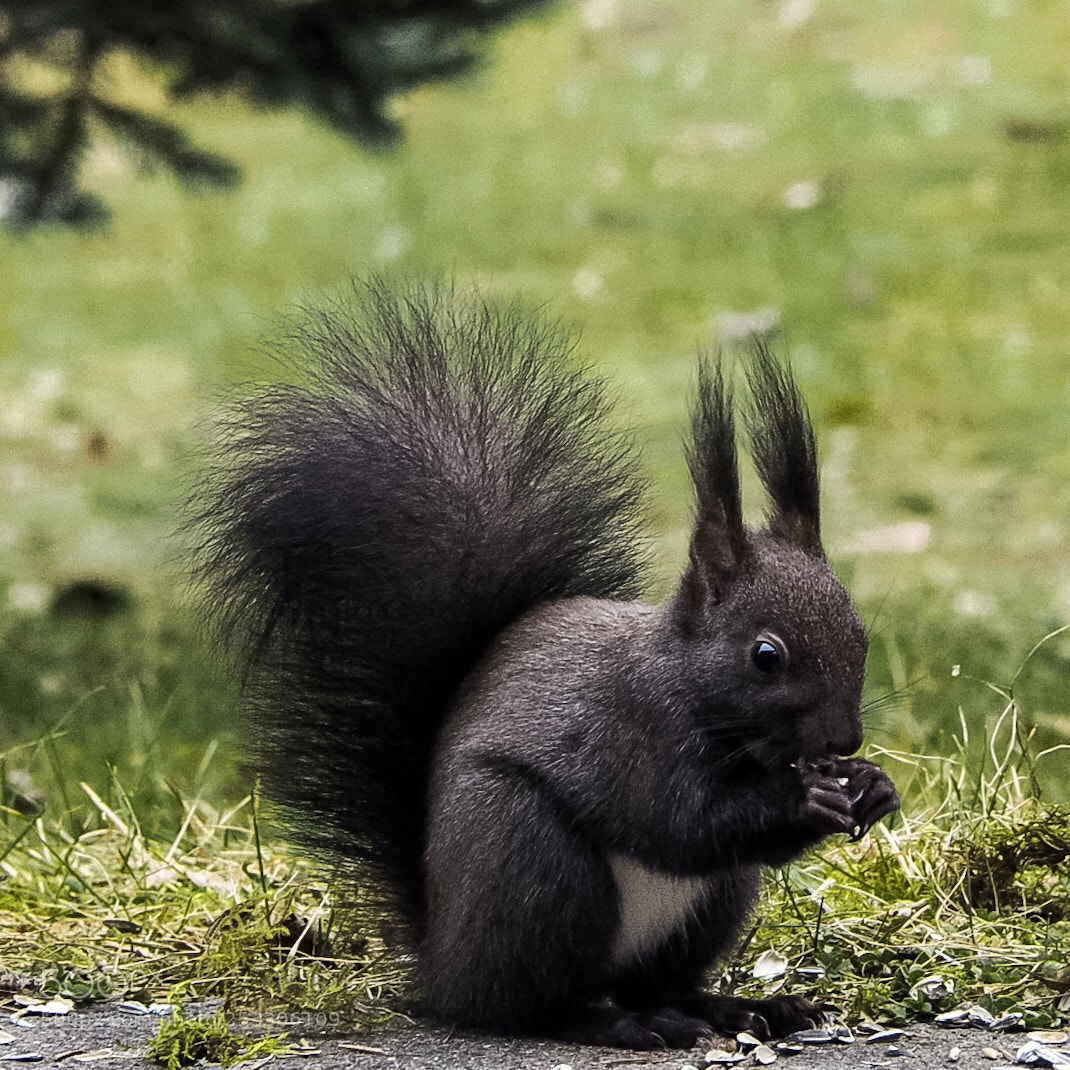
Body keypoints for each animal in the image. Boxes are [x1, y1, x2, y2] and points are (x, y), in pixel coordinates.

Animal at [194, 279, 900, 1050]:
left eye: (859, 633)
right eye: (765, 655)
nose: (844, 740)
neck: (687, 688)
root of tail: (442, 965)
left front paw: (872, 786)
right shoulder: (630, 733)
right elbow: (680, 823)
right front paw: (809, 798)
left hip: (711, 902)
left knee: (658, 981)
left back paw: (735, 1009)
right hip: (531, 862)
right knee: (528, 1005)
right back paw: (617, 1023)